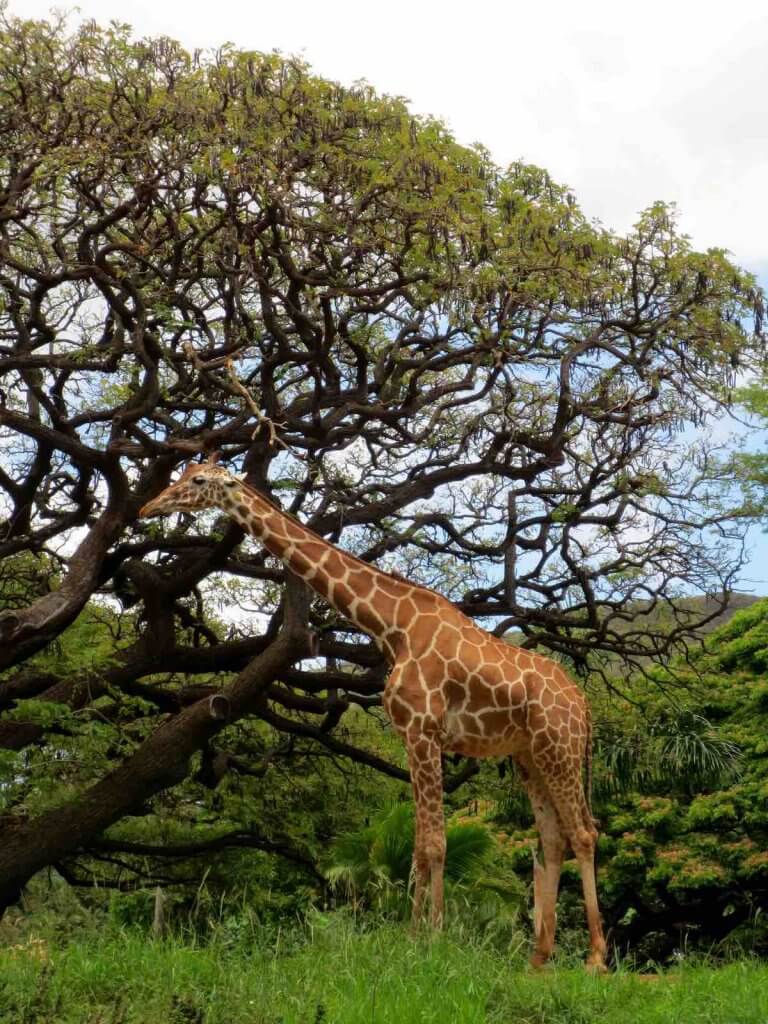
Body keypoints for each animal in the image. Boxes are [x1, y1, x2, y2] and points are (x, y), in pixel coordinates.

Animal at [138, 456, 606, 966]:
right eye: (184, 474)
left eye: (199, 481)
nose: (148, 507)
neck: (391, 626)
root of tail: (583, 704)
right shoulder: (410, 736)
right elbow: (420, 845)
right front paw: (414, 937)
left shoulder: (424, 730)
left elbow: (436, 844)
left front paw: (435, 940)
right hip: (529, 756)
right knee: (554, 839)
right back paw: (539, 960)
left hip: (559, 747)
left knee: (584, 832)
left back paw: (596, 959)